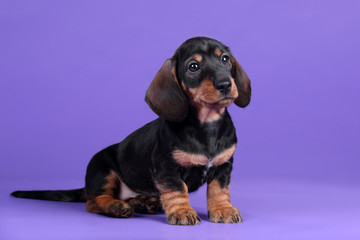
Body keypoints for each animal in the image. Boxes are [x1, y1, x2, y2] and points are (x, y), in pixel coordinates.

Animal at [12, 37, 252, 225]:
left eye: (225, 59)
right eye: (193, 66)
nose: (225, 84)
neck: (207, 124)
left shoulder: (223, 166)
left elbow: (218, 190)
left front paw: (223, 209)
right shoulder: (166, 168)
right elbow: (177, 190)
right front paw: (182, 211)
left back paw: (143, 202)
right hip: (103, 170)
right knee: (93, 202)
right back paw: (116, 207)